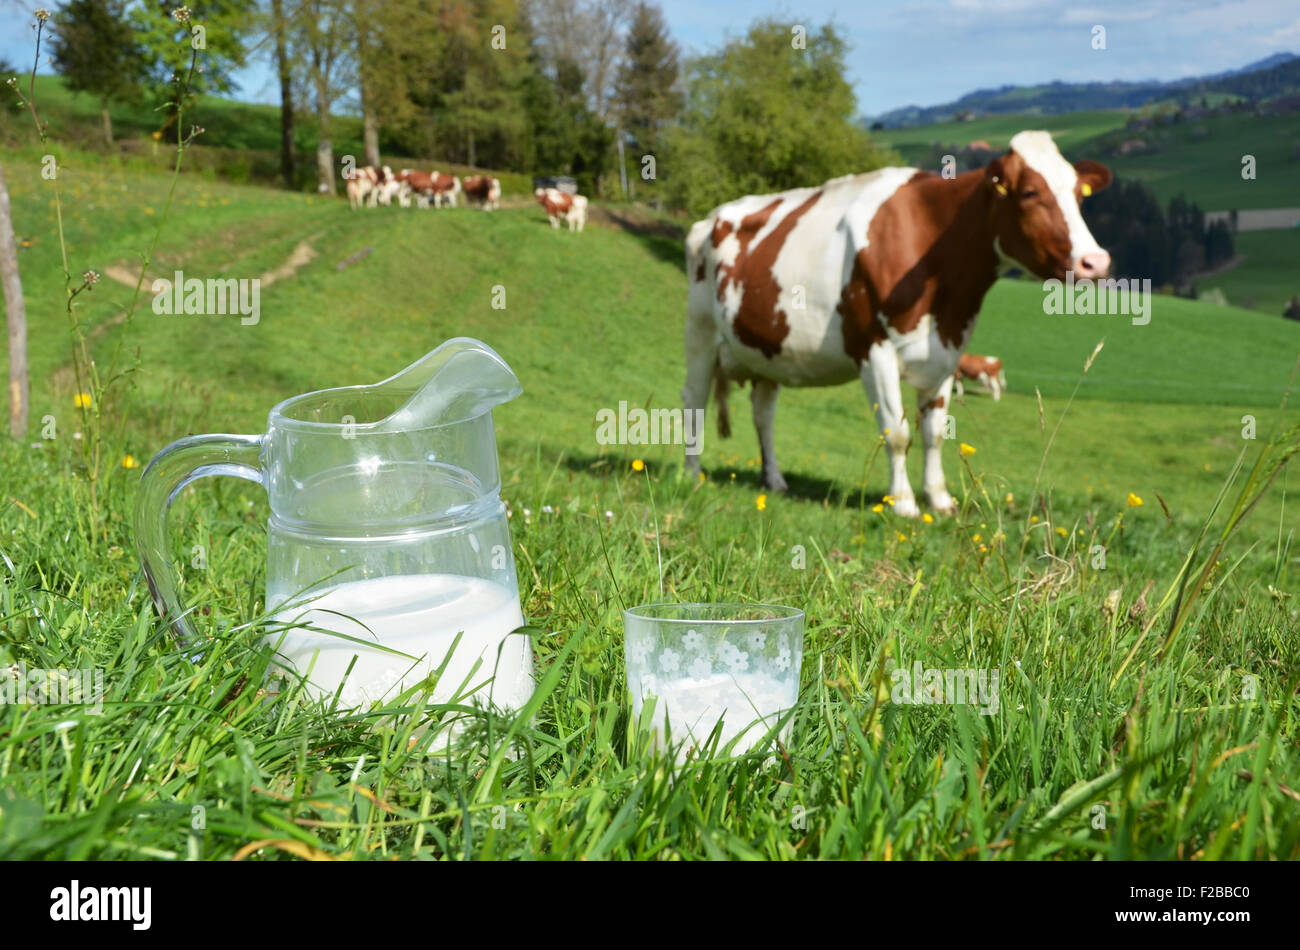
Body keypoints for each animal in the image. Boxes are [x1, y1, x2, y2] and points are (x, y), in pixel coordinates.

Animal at [686, 131, 1112, 517]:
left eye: (1080, 196)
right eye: (1029, 193)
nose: (1096, 262)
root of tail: (709, 218)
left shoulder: (947, 353)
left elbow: (935, 433)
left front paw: (939, 500)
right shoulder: (875, 349)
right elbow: (897, 432)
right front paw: (904, 503)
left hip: (766, 349)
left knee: (764, 414)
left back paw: (773, 480)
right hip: (701, 332)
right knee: (694, 401)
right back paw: (692, 475)